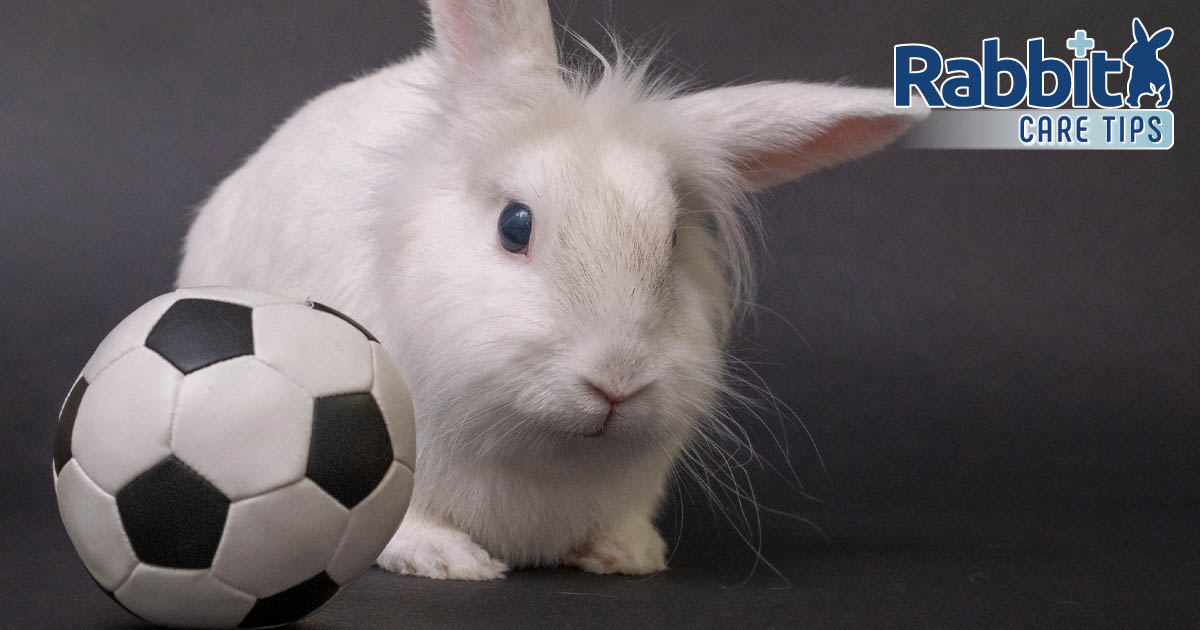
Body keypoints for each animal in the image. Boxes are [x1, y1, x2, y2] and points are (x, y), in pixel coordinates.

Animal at [177, 0, 926, 580]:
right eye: (516, 225)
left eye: (672, 240)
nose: (617, 383)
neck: (542, 450)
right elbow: (405, 524)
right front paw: (452, 561)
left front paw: (628, 556)